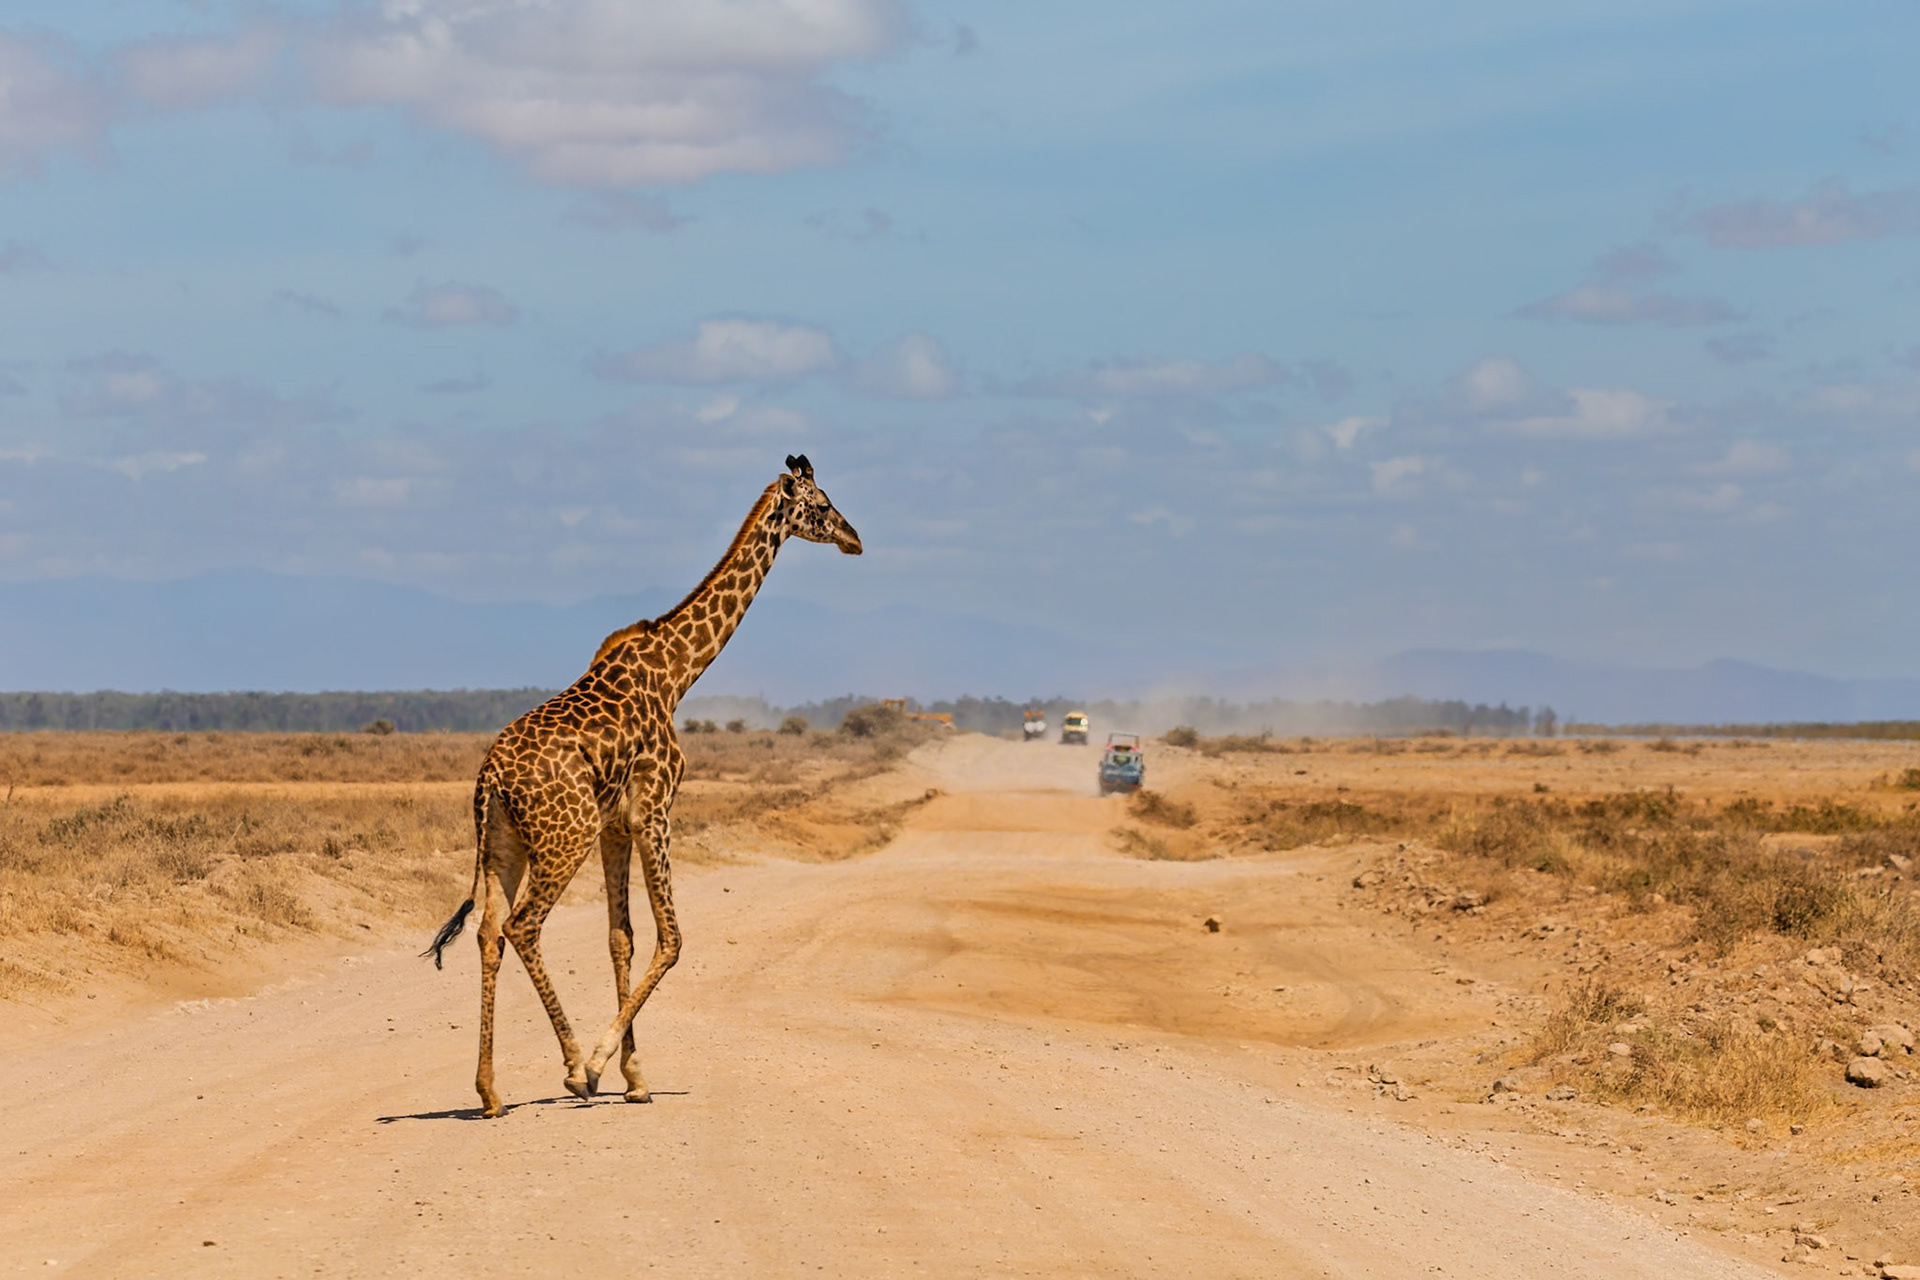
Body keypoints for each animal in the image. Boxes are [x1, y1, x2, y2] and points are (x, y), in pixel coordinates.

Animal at [422, 454, 861, 1117]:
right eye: (822, 503)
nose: (854, 538)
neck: (678, 673)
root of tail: (491, 775)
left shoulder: (615, 826)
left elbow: (620, 938)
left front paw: (635, 1076)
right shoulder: (653, 810)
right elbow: (672, 939)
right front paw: (603, 1066)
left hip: (505, 843)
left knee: (488, 932)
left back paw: (490, 1090)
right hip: (564, 837)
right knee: (523, 926)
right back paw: (574, 1067)